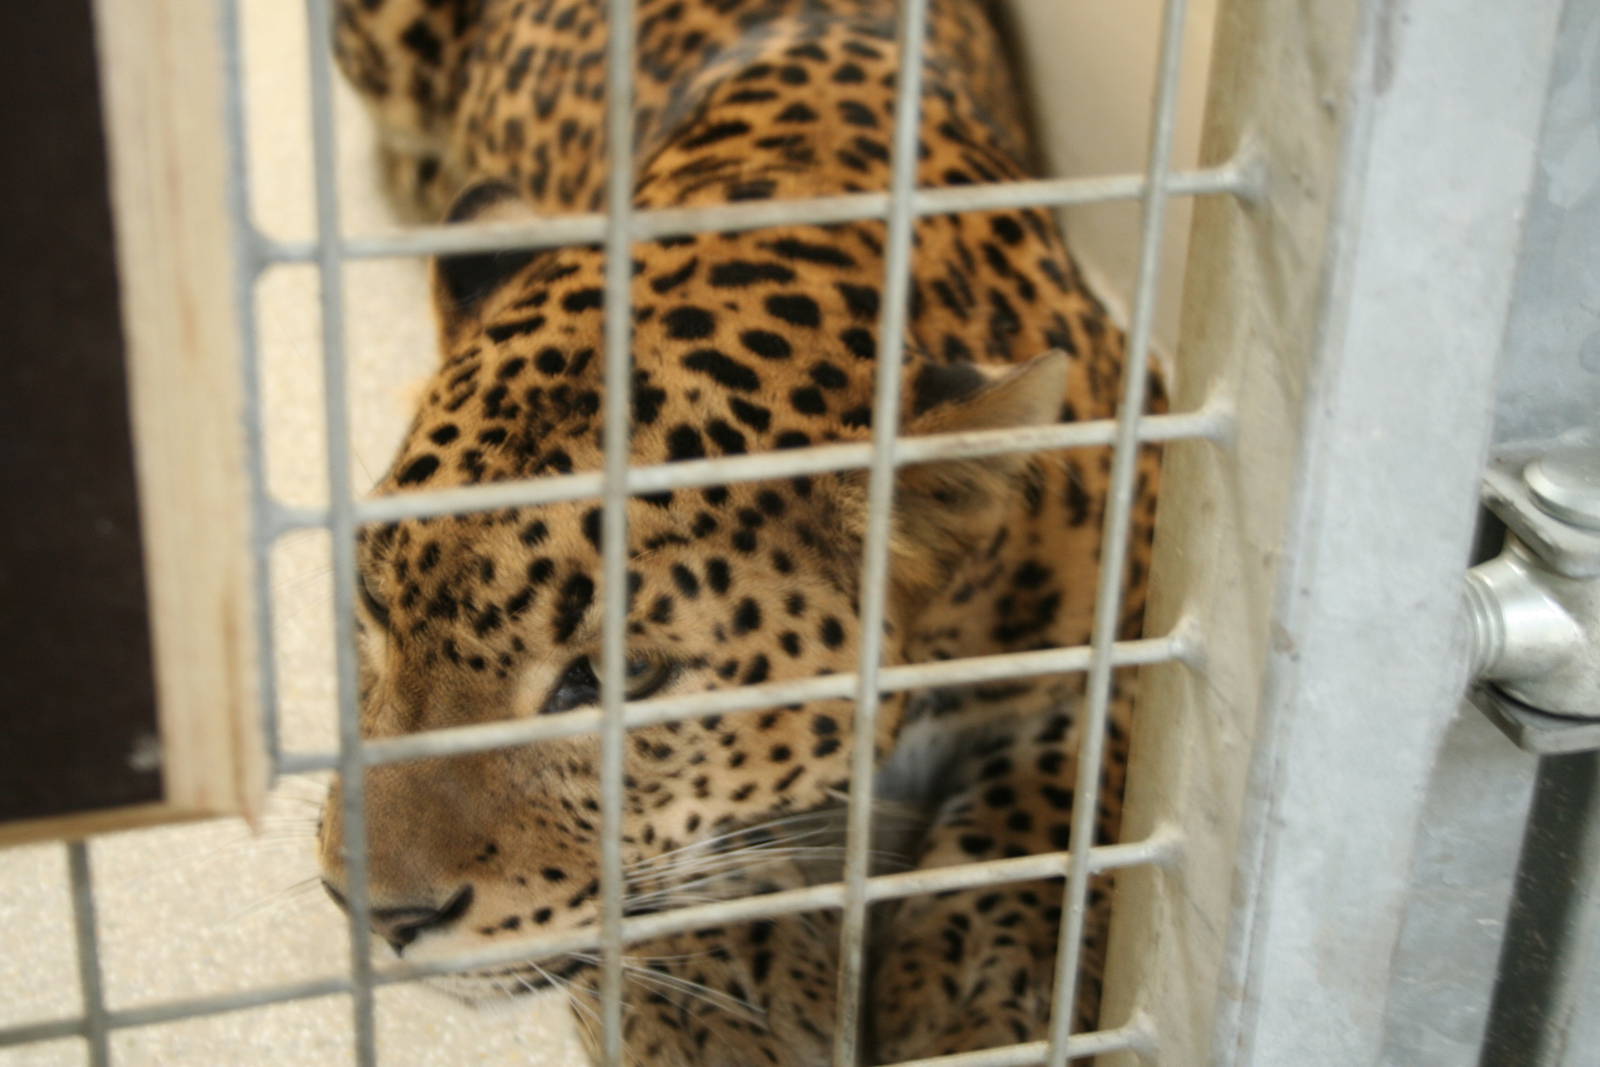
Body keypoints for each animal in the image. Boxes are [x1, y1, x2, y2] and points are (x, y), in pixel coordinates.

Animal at [317, 0, 1163, 1061]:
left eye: (624, 676)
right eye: (374, 606)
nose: (368, 910)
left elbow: (1065, 783)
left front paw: (986, 986)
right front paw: (726, 997)